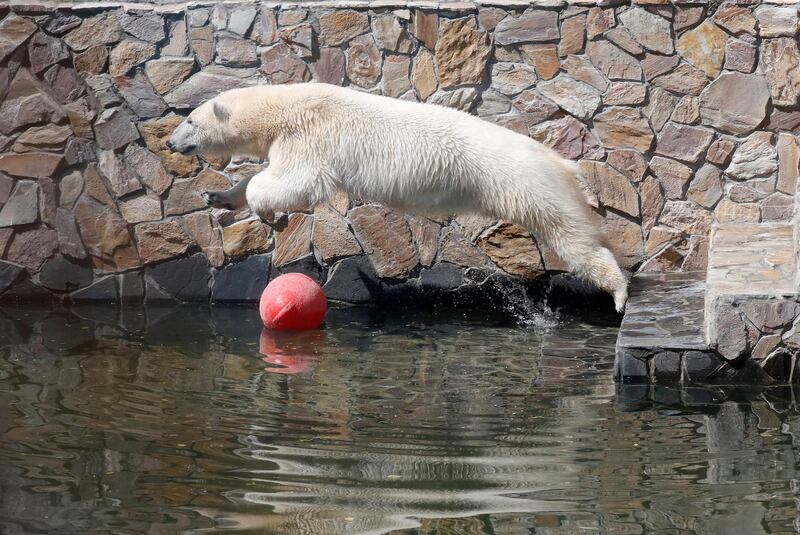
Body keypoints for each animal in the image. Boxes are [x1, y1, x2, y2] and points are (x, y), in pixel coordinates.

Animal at [169, 81, 628, 312]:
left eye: (190, 120)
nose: (172, 142)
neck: (281, 106)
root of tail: (562, 162)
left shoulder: (310, 135)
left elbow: (297, 179)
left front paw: (269, 212)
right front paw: (218, 196)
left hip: (527, 184)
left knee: (572, 236)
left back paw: (620, 293)